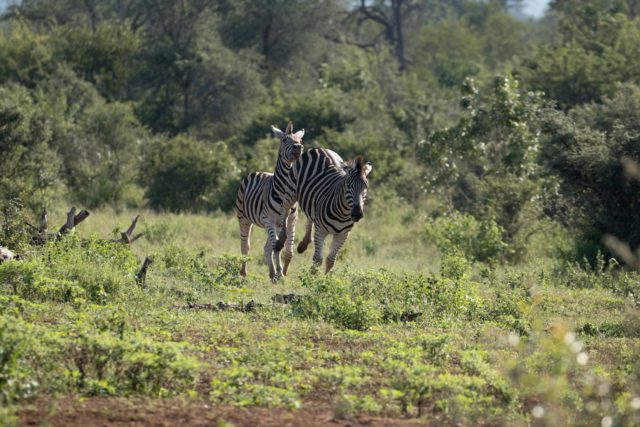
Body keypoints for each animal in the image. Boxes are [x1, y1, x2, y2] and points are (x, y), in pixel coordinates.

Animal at [235, 122, 304, 280]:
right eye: (284, 140)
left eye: (300, 140)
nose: (298, 147)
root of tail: (257, 172)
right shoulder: (269, 220)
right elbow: (276, 247)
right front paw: (279, 273)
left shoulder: (291, 221)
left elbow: (288, 251)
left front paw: (282, 272)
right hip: (244, 219)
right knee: (245, 246)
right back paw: (243, 273)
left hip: (275, 225)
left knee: (267, 247)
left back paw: (271, 273)